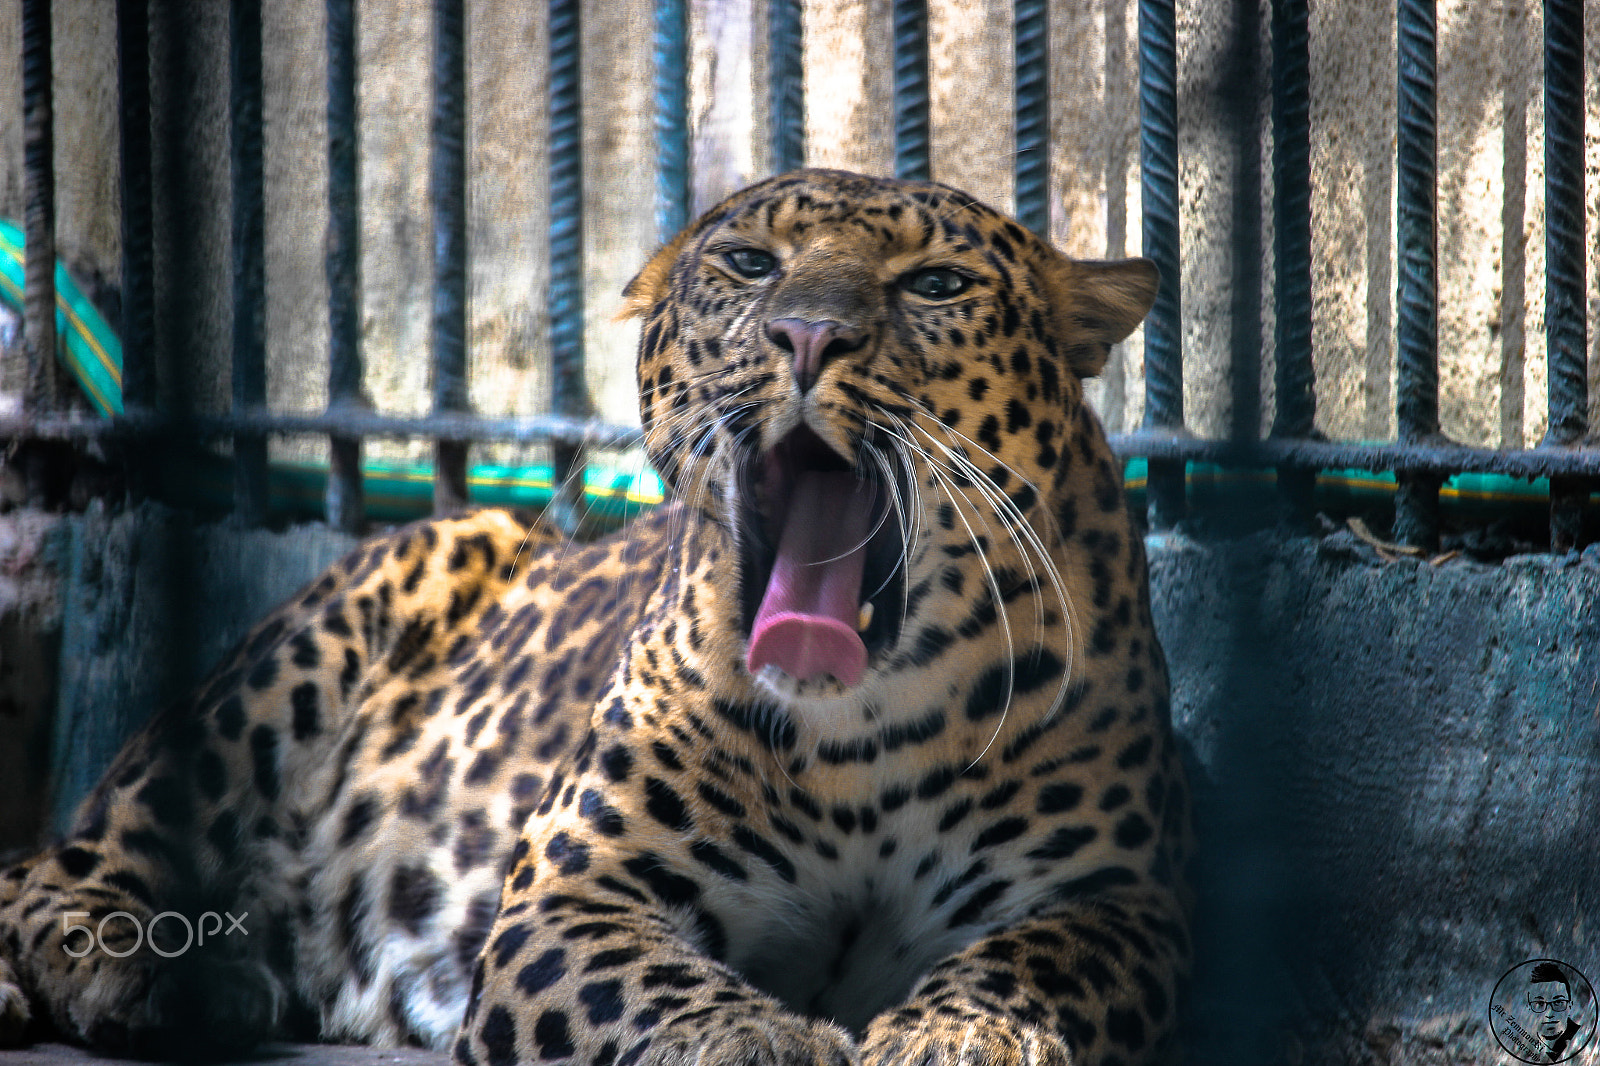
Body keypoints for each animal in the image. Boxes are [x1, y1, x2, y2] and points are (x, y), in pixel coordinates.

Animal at [0, 168, 1190, 1065]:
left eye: (936, 283)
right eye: (750, 264)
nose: (806, 335)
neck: (856, 731)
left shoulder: (1120, 899)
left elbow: (1030, 961)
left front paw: (963, 1033)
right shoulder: (575, 889)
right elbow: (647, 979)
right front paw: (758, 1039)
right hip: (353, 612)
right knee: (68, 859)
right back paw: (133, 964)